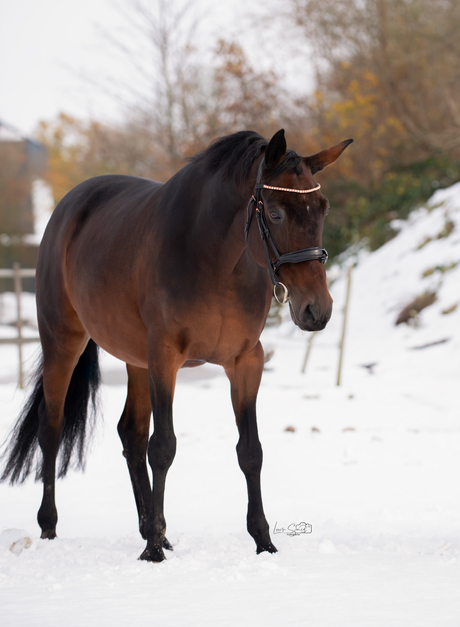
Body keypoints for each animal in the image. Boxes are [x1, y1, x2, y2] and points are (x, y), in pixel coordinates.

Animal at [0, 130, 352, 560]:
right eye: (275, 214)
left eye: (323, 208)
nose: (317, 309)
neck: (214, 260)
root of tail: (68, 208)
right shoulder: (165, 358)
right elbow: (164, 447)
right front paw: (153, 552)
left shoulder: (245, 361)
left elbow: (250, 450)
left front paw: (263, 541)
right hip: (62, 342)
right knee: (51, 428)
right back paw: (50, 527)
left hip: (136, 359)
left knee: (131, 434)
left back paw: (151, 528)